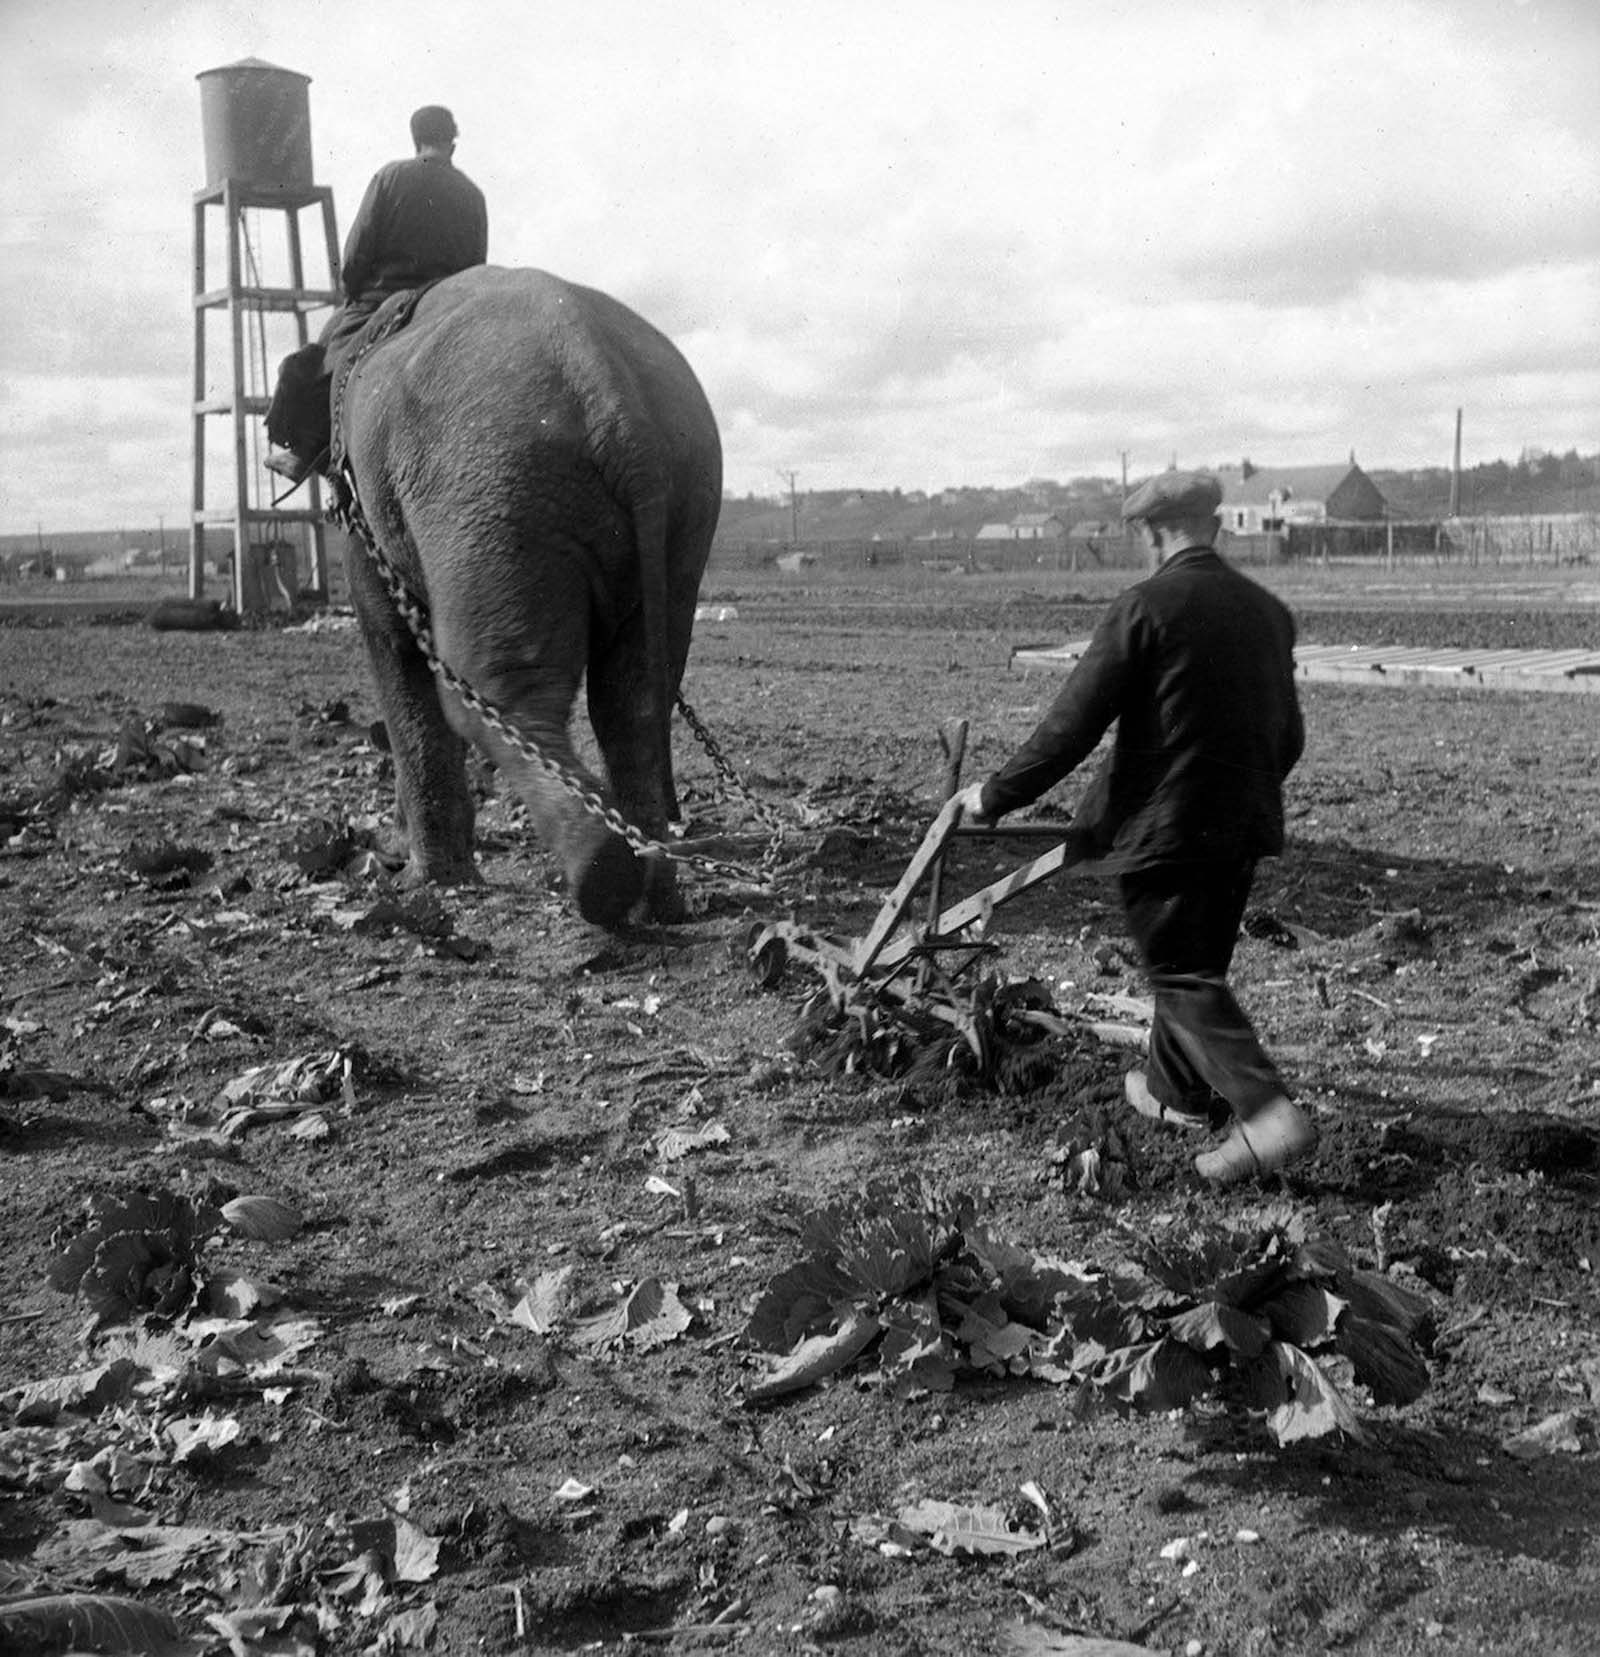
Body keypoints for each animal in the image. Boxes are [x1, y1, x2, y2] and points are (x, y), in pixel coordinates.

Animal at [337, 265, 725, 927]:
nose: (379, 850)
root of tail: (612, 394)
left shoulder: (365, 508)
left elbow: (392, 639)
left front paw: (423, 885)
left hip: (494, 499)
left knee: (492, 691)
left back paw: (603, 879)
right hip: (683, 502)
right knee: (634, 703)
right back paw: (659, 901)